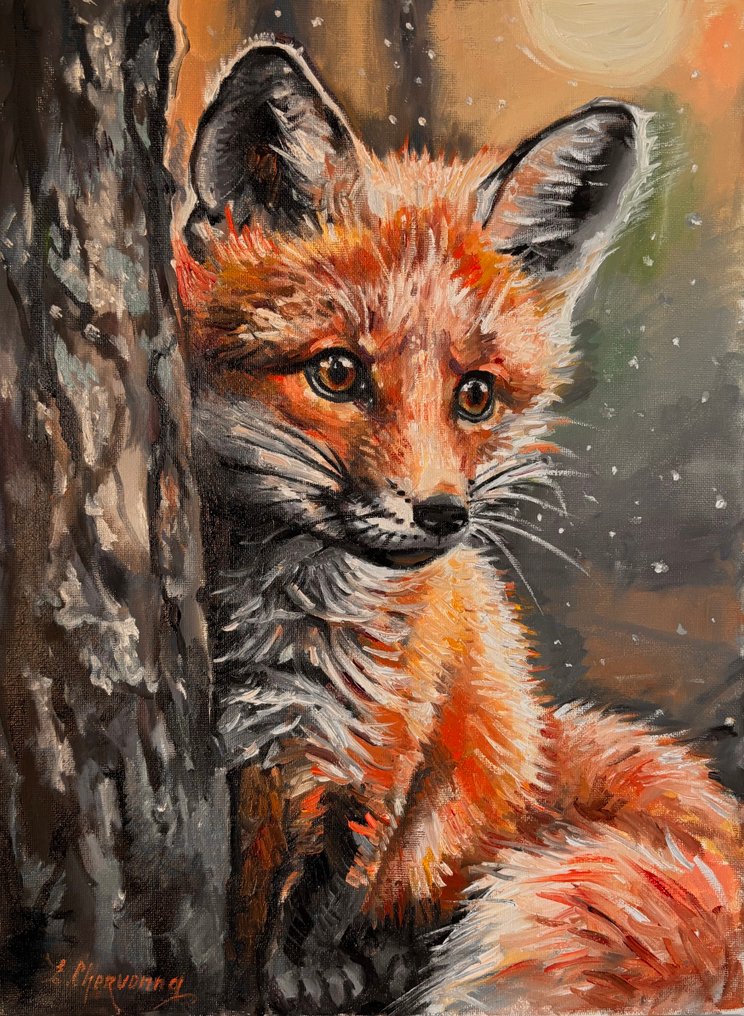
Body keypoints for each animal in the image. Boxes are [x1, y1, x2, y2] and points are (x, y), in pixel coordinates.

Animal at [177, 38, 744, 1016]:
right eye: (337, 373)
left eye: (475, 395)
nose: (443, 515)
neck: (279, 616)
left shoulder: (365, 747)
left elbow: (330, 882)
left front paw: (309, 973)